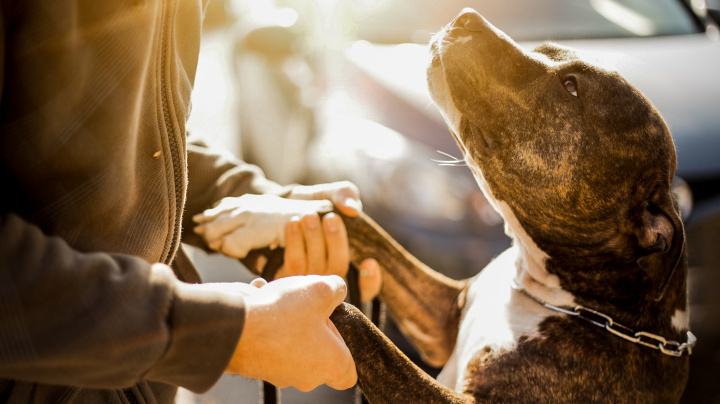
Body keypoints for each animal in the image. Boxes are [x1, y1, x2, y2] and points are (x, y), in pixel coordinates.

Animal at [330, 7, 696, 404]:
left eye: (571, 86)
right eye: (543, 50)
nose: (467, 17)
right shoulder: (439, 318)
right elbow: (369, 233)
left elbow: (363, 329)